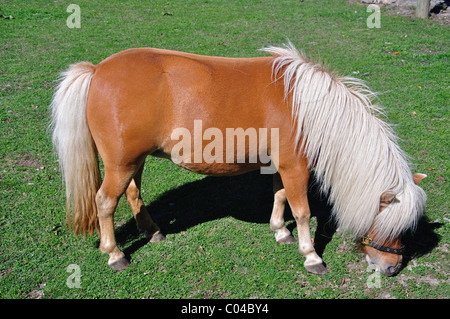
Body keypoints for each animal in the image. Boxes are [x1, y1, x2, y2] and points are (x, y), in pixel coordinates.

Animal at [51, 42, 428, 276]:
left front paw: (280, 231)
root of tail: (98, 70)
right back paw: (114, 254)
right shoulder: (296, 167)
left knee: (132, 193)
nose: (391, 268)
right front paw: (310, 255)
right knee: (105, 202)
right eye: (392, 224)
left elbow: (280, 197)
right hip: (121, 164)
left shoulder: (280, 166)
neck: (310, 109)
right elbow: (303, 211)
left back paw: (153, 232)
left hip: (134, 162)